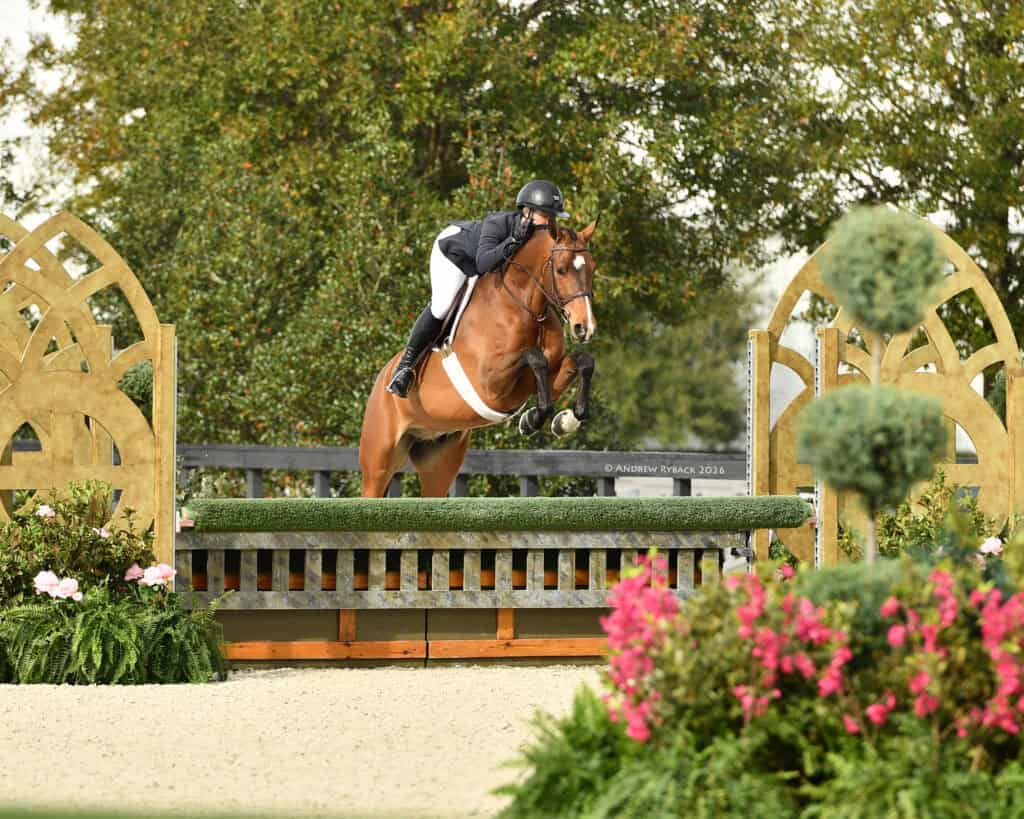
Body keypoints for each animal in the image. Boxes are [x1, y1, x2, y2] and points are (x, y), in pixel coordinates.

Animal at [358, 220, 599, 497]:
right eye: (561, 270)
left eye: (593, 268)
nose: (585, 327)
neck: (524, 307)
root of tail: (381, 379)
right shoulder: (491, 384)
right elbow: (534, 357)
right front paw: (535, 419)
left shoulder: (536, 379)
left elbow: (583, 361)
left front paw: (562, 421)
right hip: (378, 463)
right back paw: (400, 378)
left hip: (440, 458)